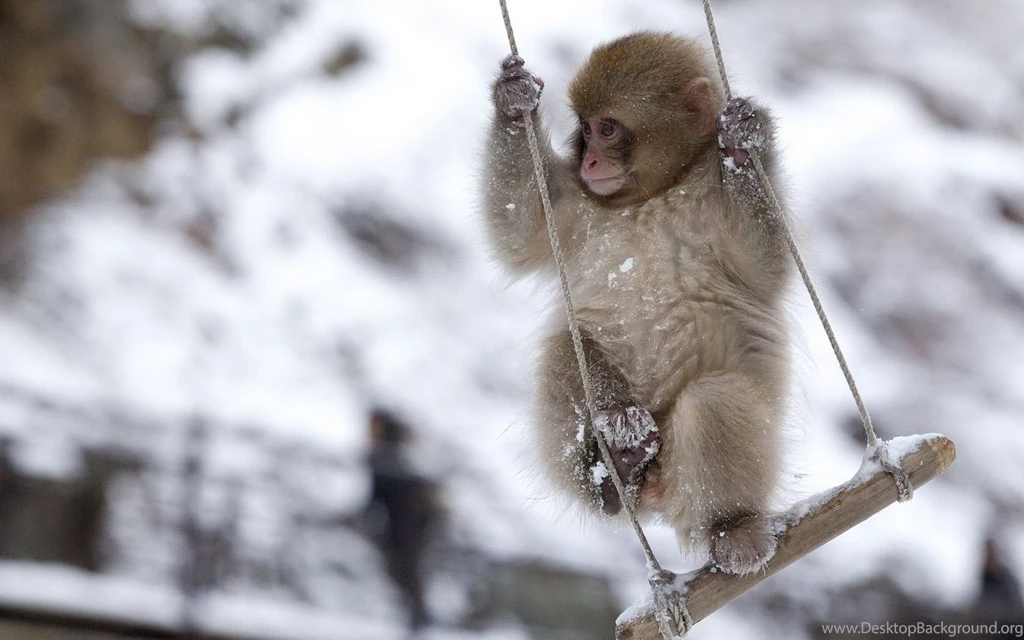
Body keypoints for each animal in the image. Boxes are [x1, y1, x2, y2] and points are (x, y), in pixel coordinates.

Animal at [481, 32, 793, 575]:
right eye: (585, 129)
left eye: (608, 129)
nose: (590, 161)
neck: (654, 194)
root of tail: (658, 494)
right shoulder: (580, 207)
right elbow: (520, 231)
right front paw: (513, 102)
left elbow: (765, 267)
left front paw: (742, 144)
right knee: (568, 348)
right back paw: (616, 471)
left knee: (712, 401)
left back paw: (732, 527)